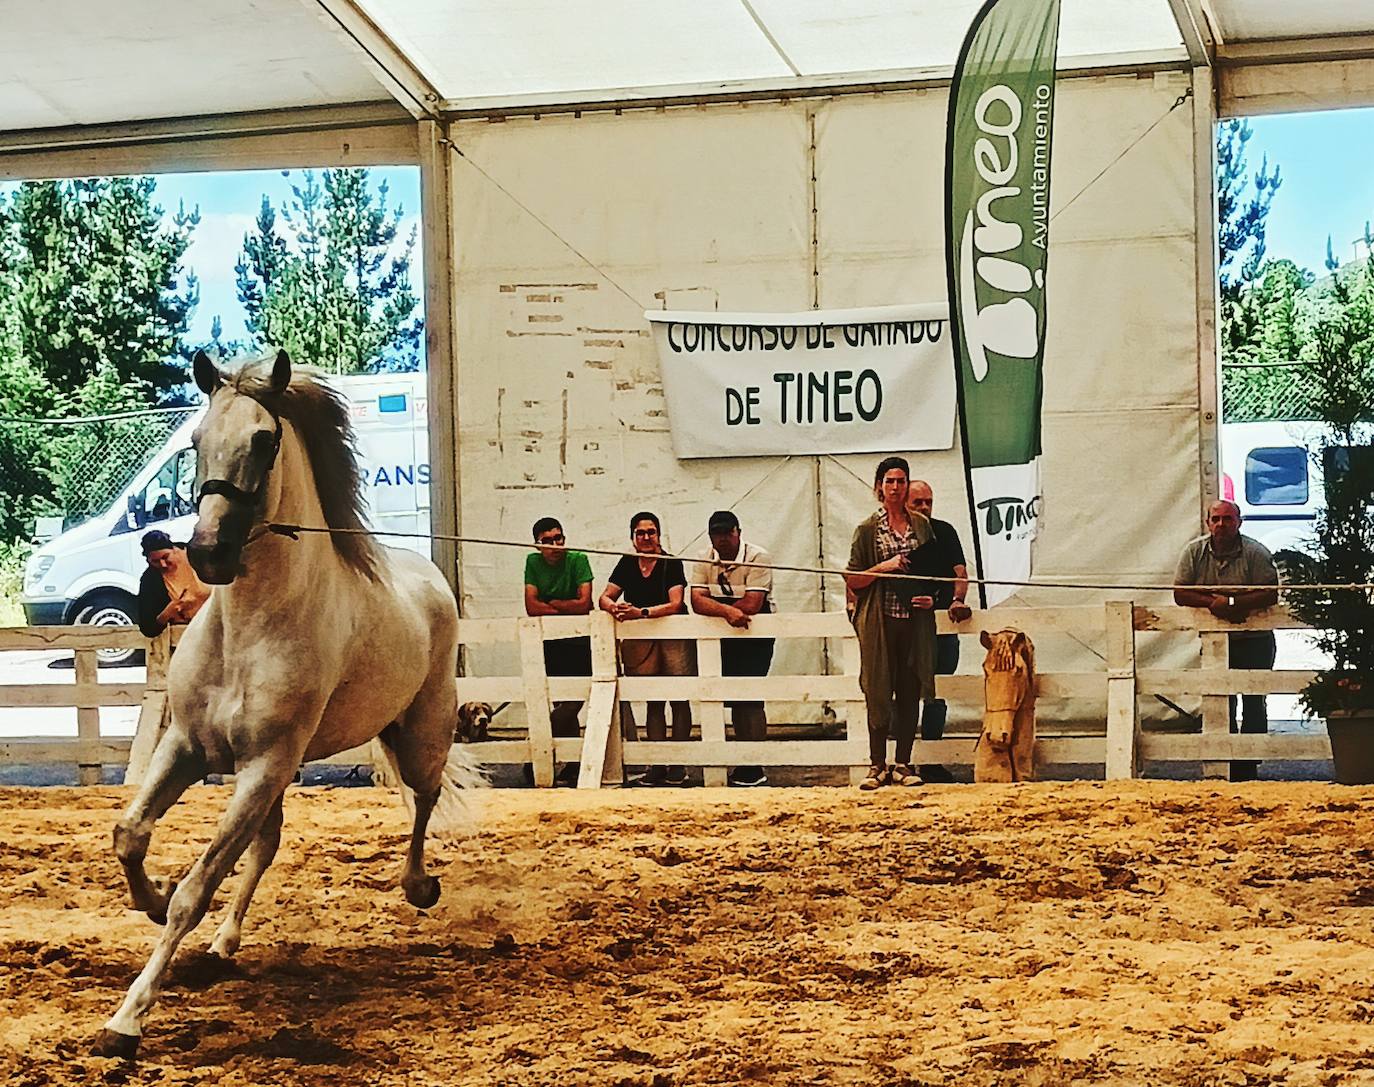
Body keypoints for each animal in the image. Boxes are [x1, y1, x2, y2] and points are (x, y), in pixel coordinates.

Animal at [94, 349, 481, 1058]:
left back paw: (418, 885)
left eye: (265, 440)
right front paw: (152, 900)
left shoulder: (263, 765)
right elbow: (130, 834)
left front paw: (127, 1019)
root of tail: (428, 577)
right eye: (196, 440)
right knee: (266, 846)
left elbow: (197, 887)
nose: (208, 553)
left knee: (424, 796)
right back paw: (224, 943)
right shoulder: (190, 748)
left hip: (419, 733)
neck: (250, 631)